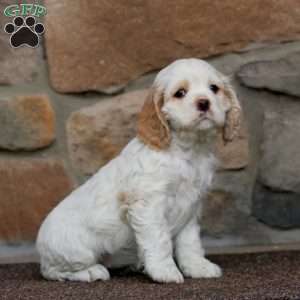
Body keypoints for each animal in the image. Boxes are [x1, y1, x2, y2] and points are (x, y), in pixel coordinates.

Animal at [36, 58, 241, 284]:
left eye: (214, 88)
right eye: (180, 93)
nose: (204, 102)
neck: (188, 151)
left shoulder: (191, 206)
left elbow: (190, 243)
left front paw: (197, 267)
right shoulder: (149, 203)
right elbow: (160, 241)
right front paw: (165, 271)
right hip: (76, 252)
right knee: (53, 271)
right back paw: (92, 271)